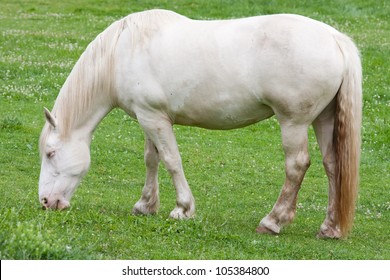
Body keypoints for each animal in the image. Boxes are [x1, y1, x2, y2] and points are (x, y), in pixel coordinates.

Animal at [38, 9, 362, 238]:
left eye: (51, 153)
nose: (46, 202)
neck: (122, 52)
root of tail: (335, 38)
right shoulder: (148, 117)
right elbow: (151, 159)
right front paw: (145, 205)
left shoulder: (154, 118)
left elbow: (171, 161)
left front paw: (183, 209)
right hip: (323, 119)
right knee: (333, 165)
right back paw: (330, 227)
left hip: (293, 123)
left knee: (296, 166)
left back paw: (273, 221)